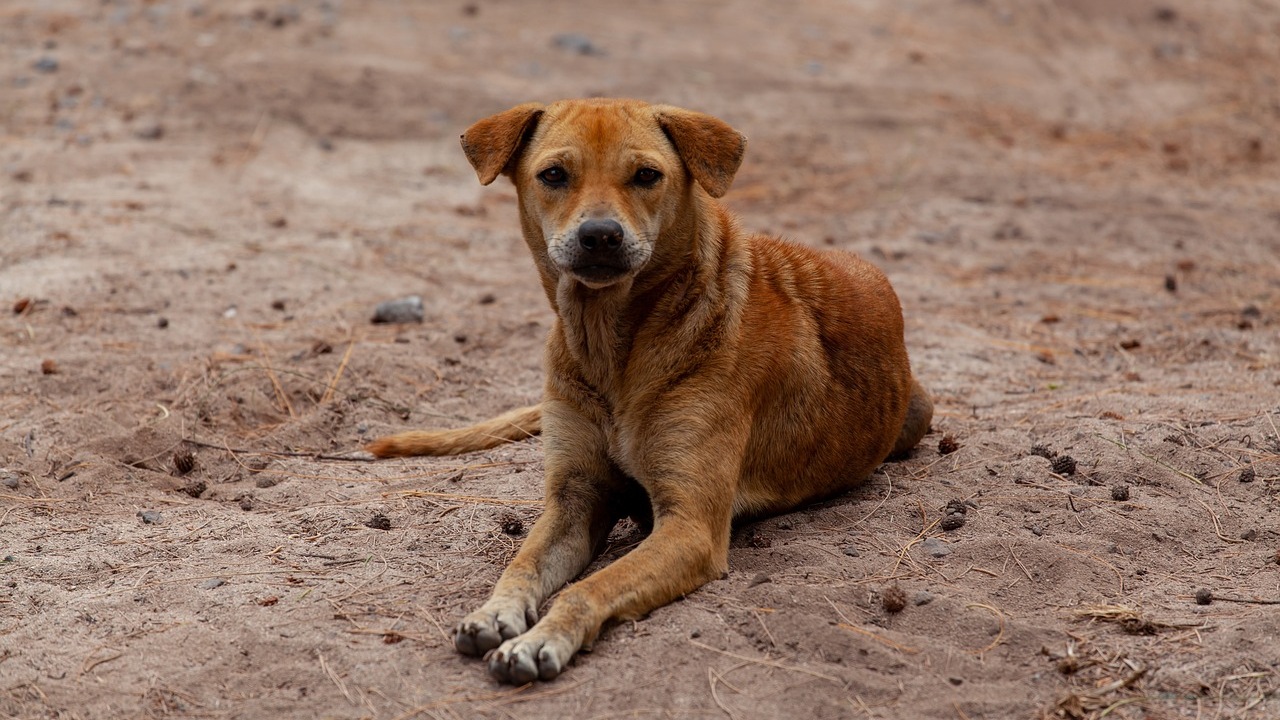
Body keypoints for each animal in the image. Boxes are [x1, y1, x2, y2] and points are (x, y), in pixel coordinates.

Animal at [366, 98, 936, 681]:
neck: (612, 347)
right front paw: (494, 612)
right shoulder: (574, 499)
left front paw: (541, 638)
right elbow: (520, 564)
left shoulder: (690, 527)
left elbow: (588, 588)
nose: (600, 235)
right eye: (554, 175)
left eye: (646, 175)